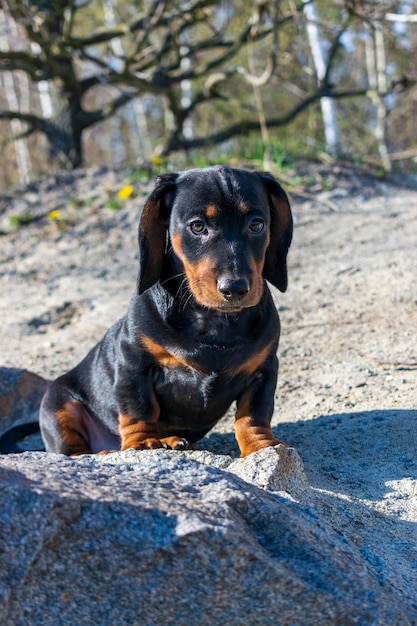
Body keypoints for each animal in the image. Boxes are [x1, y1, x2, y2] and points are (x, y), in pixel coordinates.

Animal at [11, 168, 292, 456]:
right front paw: (142, 443)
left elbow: (253, 415)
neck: (213, 321)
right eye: (198, 226)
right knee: (73, 450)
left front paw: (262, 445)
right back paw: (108, 451)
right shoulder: (134, 363)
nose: (234, 288)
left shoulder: (263, 371)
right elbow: (139, 408)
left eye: (256, 224)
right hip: (57, 405)